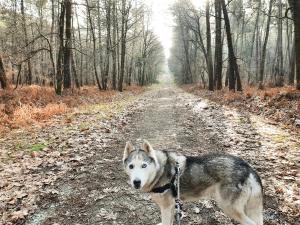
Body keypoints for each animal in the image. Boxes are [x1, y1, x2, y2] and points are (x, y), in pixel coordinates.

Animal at [122, 140, 262, 224]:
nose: (136, 182)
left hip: (228, 207)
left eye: (144, 165)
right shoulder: (171, 206)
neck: (160, 170)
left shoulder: (166, 207)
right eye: (131, 166)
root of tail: (247, 167)